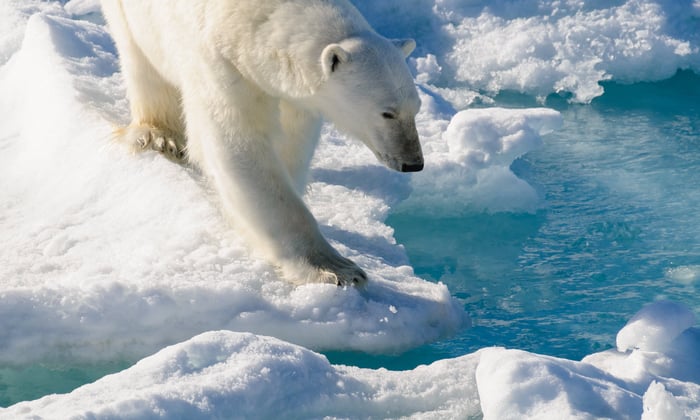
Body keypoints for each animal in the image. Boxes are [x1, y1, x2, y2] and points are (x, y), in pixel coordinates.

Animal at [100, 0, 424, 286]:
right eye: (387, 113)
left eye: (416, 108)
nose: (413, 163)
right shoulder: (222, 64)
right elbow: (239, 146)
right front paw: (336, 269)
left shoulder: (295, 101)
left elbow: (292, 146)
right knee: (139, 57)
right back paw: (159, 135)